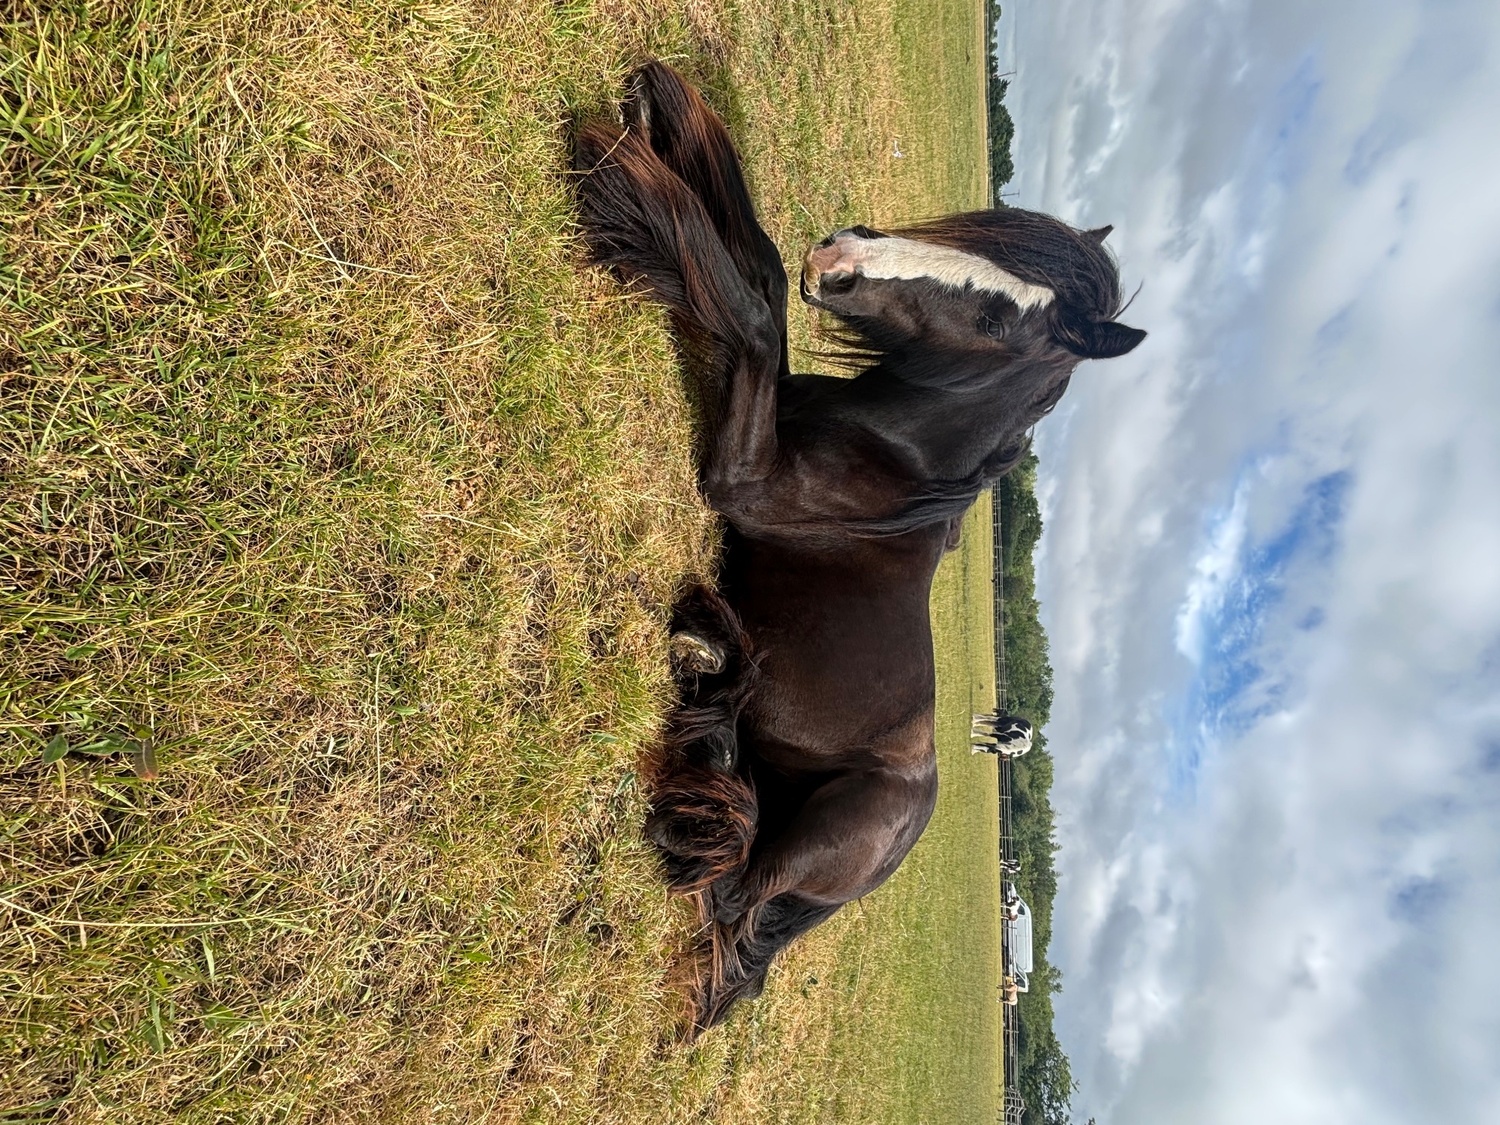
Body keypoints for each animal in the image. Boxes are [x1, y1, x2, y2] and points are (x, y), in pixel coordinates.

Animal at [571, 61, 1145, 1031]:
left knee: (734, 884)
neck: (895, 460)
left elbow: (754, 315)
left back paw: (706, 676)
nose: (839, 258)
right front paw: (666, 116)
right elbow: (763, 274)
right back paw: (710, 664)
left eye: (999, 317)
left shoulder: (738, 477)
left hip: (825, 833)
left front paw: (629, 180)